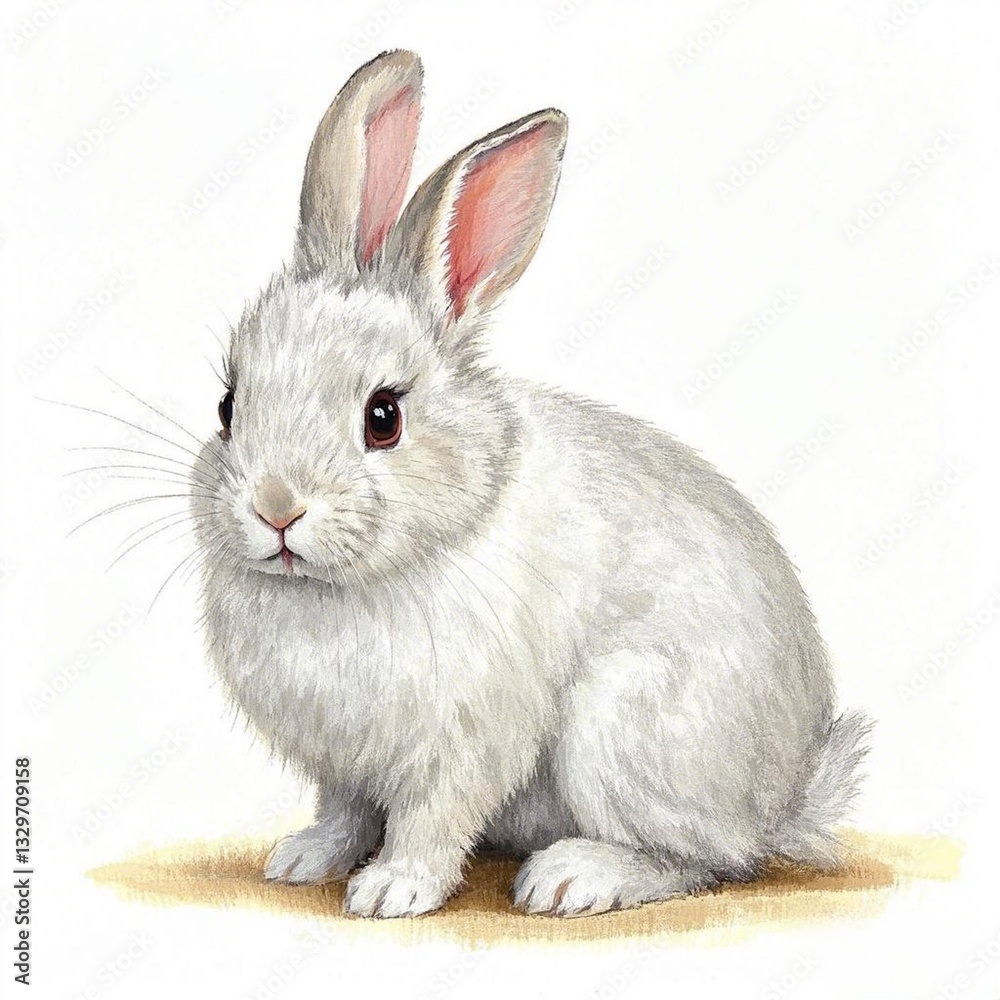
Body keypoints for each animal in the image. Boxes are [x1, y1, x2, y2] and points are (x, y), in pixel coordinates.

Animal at [192, 49, 871, 919]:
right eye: (228, 405)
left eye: (384, 418)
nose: (276, 508)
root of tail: (788, 794)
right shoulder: (343, 764)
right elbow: (345, 810)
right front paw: (305, 857)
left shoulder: (464, 742)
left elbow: (431, 818)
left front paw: (392, 890)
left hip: (622, 732)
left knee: (712, 858)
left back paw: (574, 877)